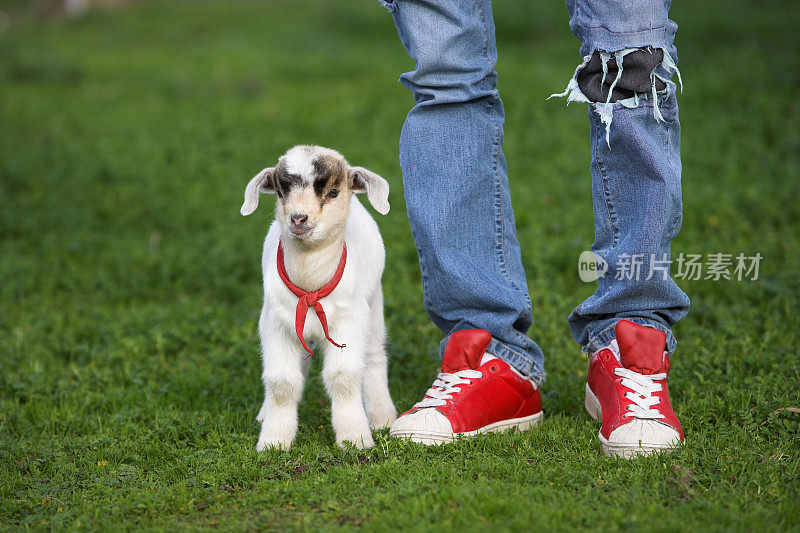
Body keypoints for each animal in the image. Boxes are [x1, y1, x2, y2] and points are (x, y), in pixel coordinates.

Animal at [239, 145, 398, 448]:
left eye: (333, 192)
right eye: (280, 193)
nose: (298, 218)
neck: (310, 284)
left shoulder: (348, 322)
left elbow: (343, 377)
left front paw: (355, 438)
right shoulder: (276, 323)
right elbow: (282, 381)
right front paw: (274, 440)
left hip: (374, 306)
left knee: (374, 357)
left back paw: (382, 417)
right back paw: (265, 414)